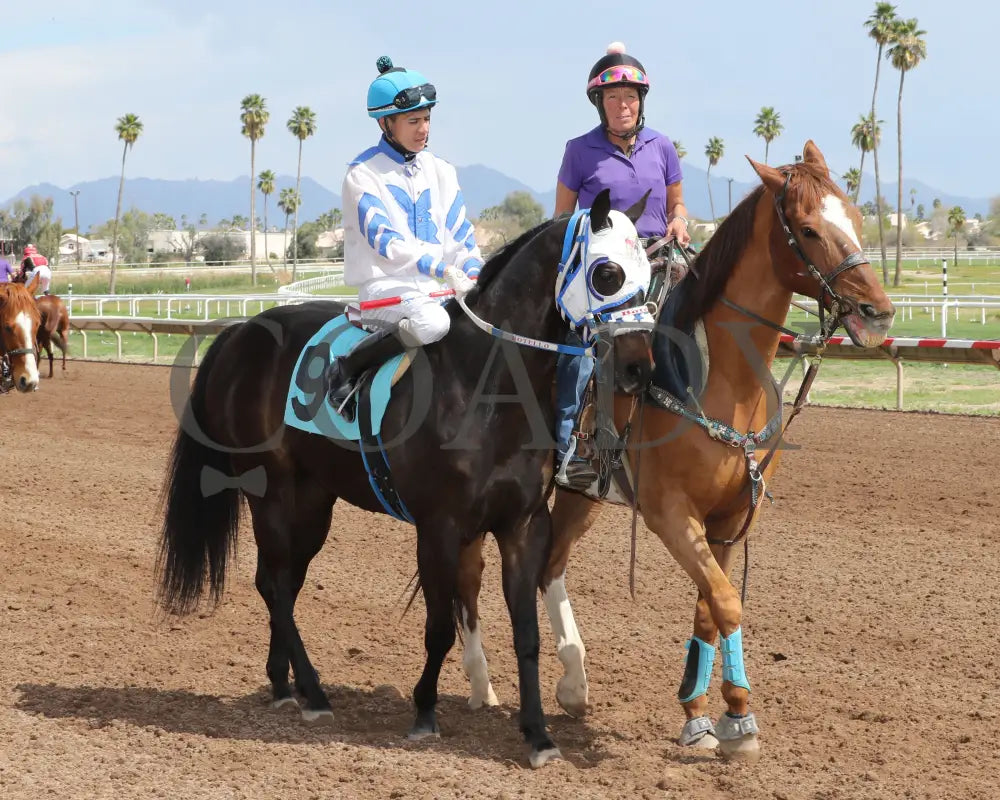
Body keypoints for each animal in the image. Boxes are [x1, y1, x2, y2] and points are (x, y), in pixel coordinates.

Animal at [157, 192, 656, 768]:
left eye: (648, 273)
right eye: (607, 273)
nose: (640, 369)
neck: (487, 390)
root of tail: (239, 331)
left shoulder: (524, 524)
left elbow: (526, 633)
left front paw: (538, 735)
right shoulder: (439, 525)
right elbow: (438, 627)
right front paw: (424, 713)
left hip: (313, 499)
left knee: (281, 580)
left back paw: (285, 686)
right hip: (269, 490)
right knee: (275, 584)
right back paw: (315, 693)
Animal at [458, 141, 896, 760]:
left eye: (856, 217)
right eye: (809, 229)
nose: (878, 314)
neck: (720, 382)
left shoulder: (731, 520)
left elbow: (710, 608)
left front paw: (709, 715)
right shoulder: (670, 514)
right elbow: (727, 601)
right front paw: (737, 720)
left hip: (580, 496)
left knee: (550, 567)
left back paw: (573, 684)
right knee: (471, 575)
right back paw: (481, 683)